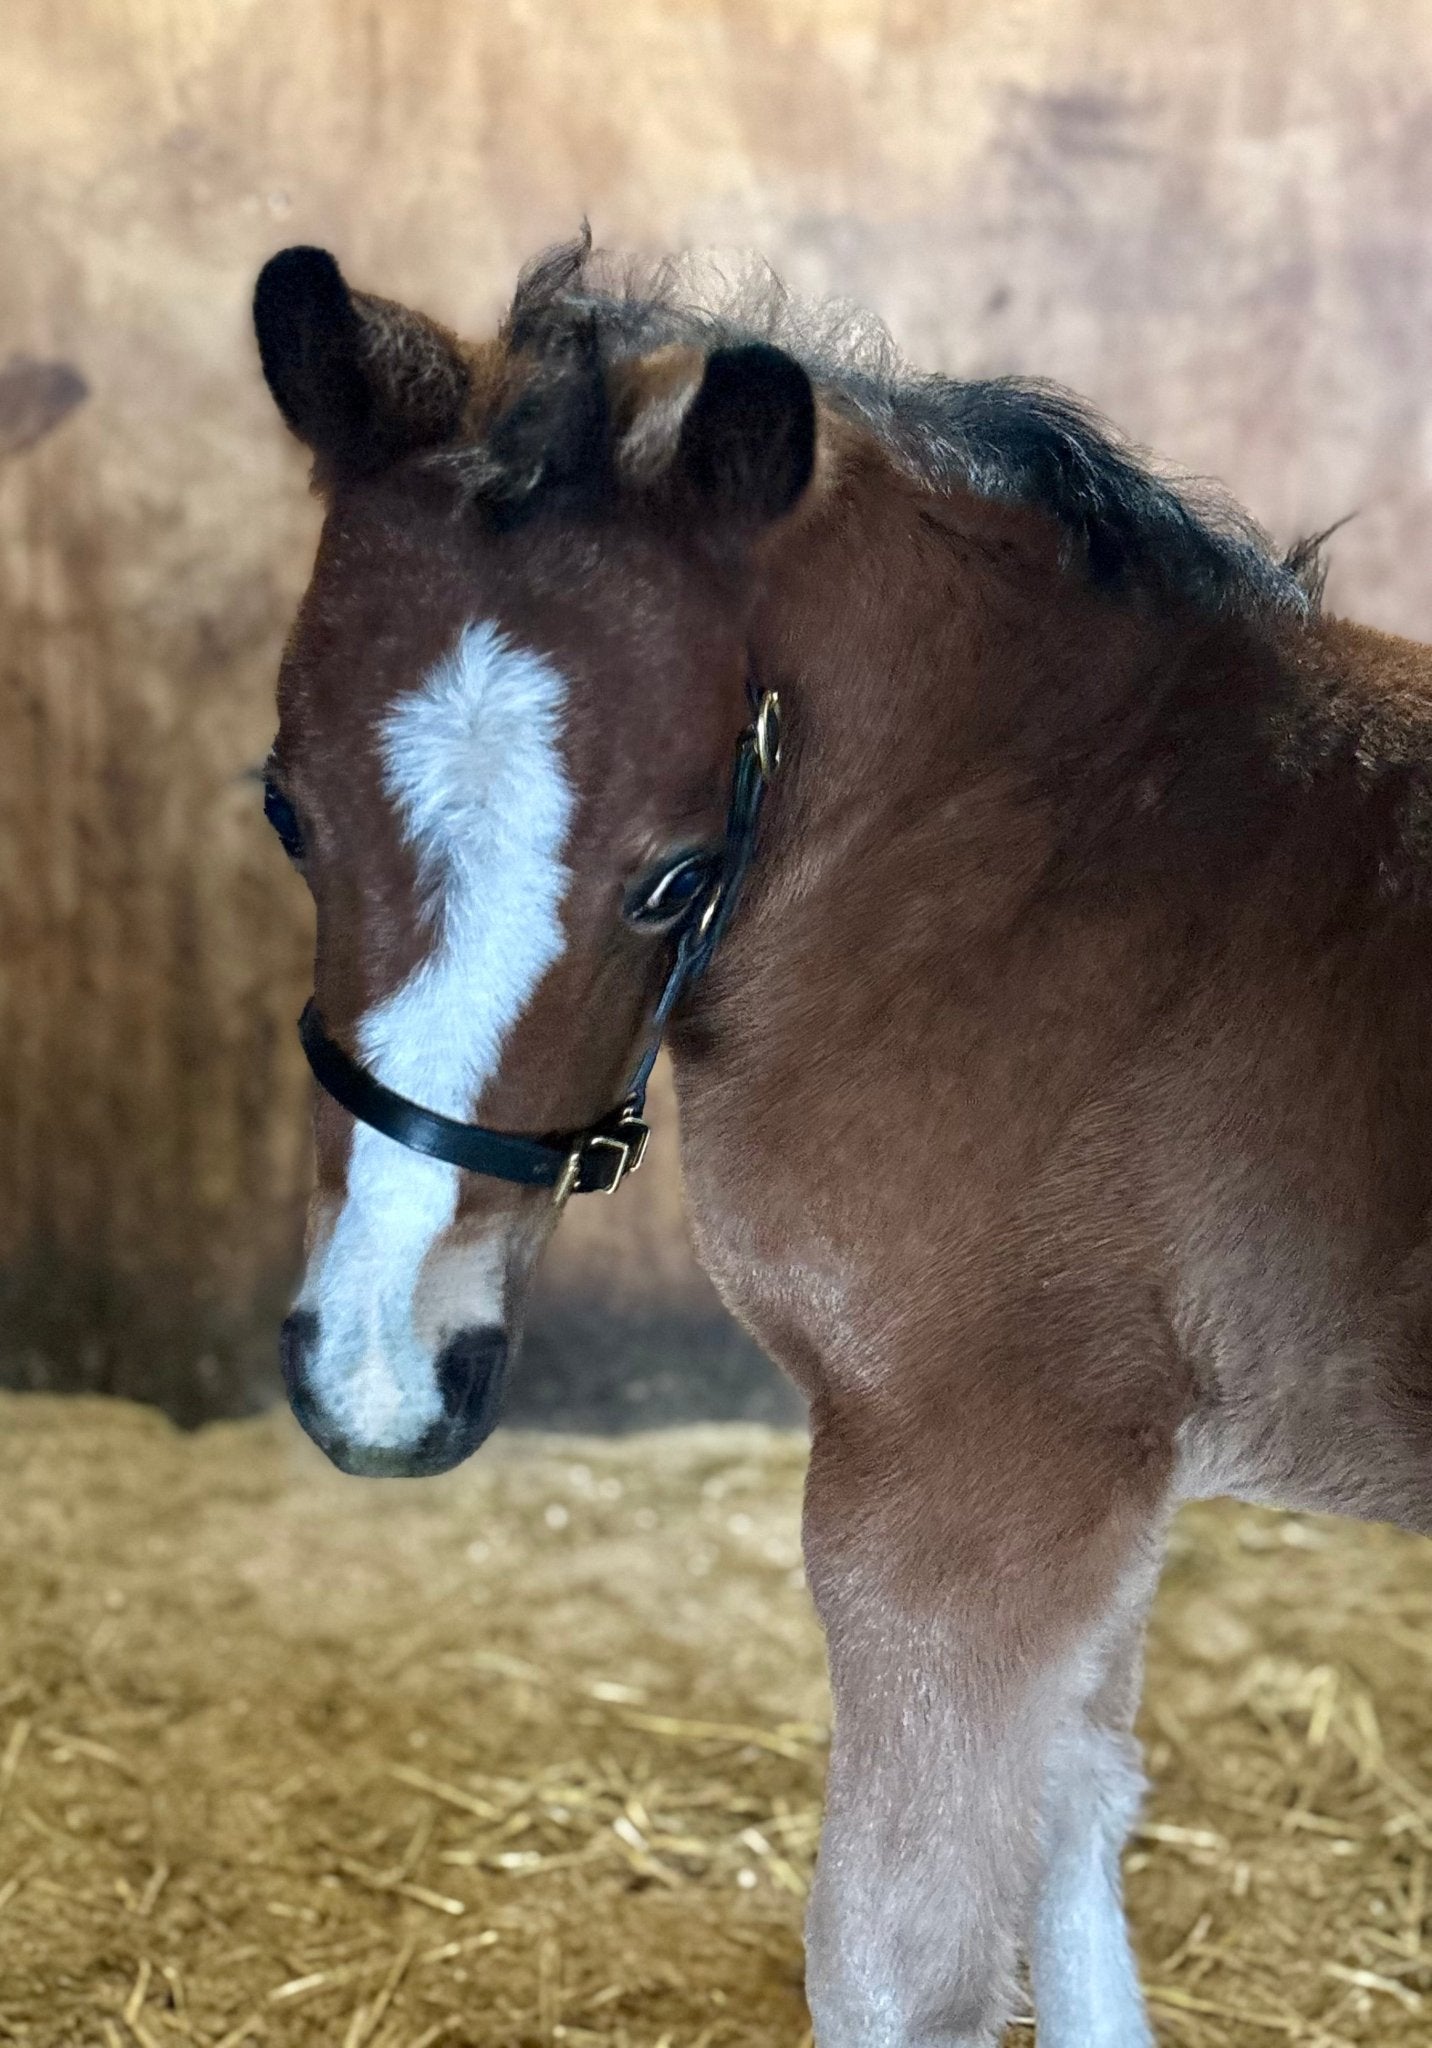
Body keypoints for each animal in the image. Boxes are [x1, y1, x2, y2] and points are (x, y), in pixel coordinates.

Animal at [251, 236, 1432, 2048]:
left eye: (672, 876)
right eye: (283, 809)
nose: (379, 1373)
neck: (1038, 867)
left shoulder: (961, 1484)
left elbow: (899, 1960)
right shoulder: (1108, 1473)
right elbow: (1077, 1807)